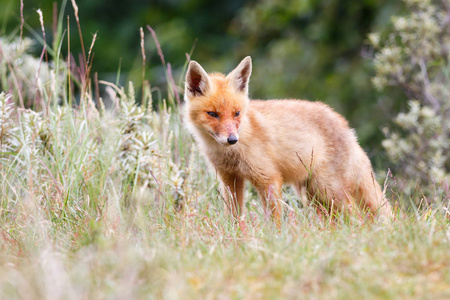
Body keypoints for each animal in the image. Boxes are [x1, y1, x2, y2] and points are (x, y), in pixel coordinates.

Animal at [185, 57, 392, 224]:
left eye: (236, 113)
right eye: (213, 114)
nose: (232, 139)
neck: (230, 153)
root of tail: (346, 126)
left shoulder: (268, 177)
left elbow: (274, 218)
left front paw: (274, 237)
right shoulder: (229, 179)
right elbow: (234, 215)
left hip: (328, 190)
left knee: (357, 218)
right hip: (313, 194)